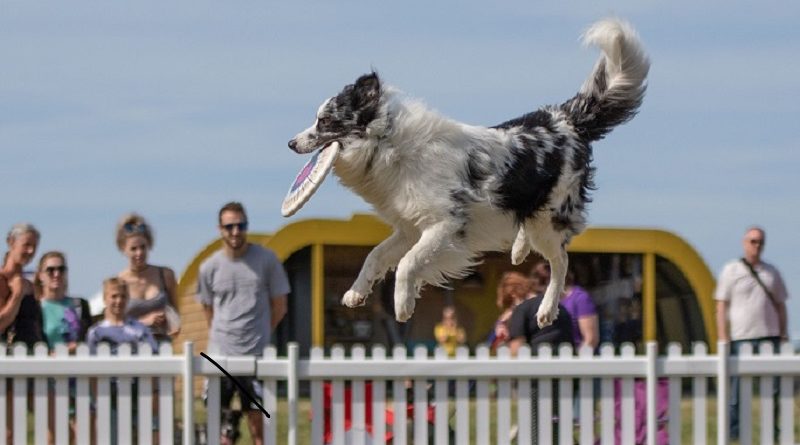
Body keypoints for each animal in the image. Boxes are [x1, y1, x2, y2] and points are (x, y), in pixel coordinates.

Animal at [290, 18, 648, 326]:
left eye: (325, 121)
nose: (291, 143)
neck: (388, 143)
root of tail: (564, 120)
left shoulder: (445, 224)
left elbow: (407, 263)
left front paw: (403, 304)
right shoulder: (409, 228)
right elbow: (376, 257)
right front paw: (356, 293)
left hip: (550, 219)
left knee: (560, 262)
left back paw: (546, 310)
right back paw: (518, 249)